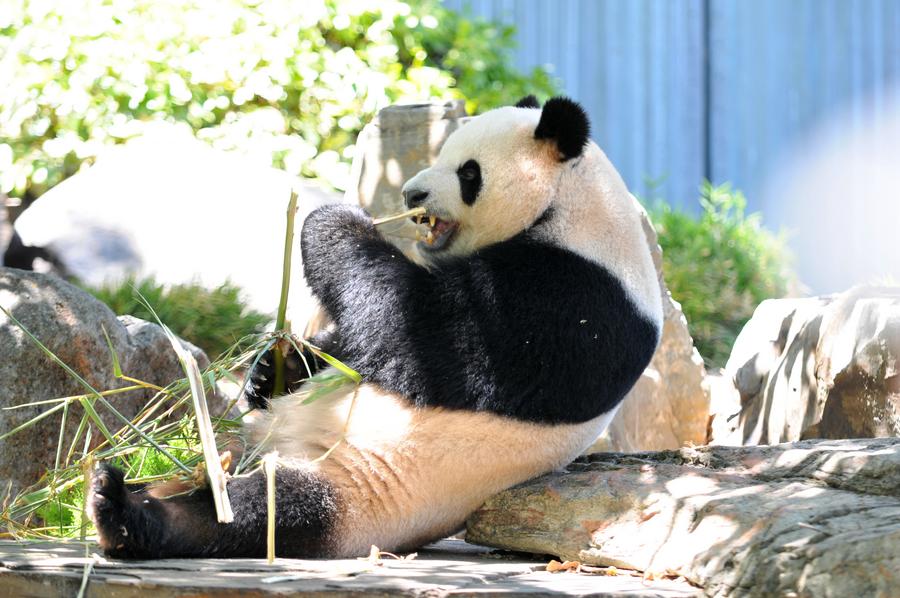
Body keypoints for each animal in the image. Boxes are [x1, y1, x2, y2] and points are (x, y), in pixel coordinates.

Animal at [87, 96, 663, 559]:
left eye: (468, 172)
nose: (411, 195)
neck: (572, 204)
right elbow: (356, 346)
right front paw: (274, 366)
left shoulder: (573, 301)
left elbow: (418, 327)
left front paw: (334, 219)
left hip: (371, 488)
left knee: (268, 510)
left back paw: (125, 513)